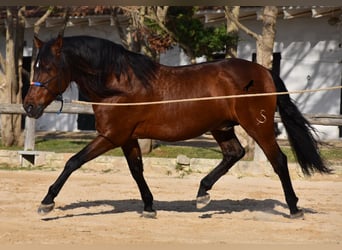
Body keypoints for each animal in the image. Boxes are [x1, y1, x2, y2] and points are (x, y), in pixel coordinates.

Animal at [22, 35, 330, 219]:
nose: (29, 106)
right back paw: (202, 194)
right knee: (234, 153)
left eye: (48, 68)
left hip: (258, 127)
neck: (119, 85)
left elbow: (72, 162)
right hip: (222, 127)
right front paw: (149, 206)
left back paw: (294, 207)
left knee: (278, 161)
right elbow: (136, 170)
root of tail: (264, 71)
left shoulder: (111, 136)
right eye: (34, 66)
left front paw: (47, 202)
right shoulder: (127, 138)